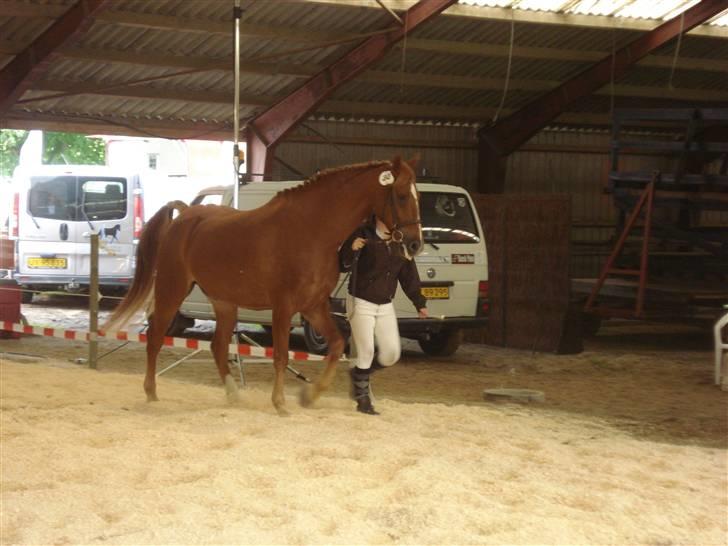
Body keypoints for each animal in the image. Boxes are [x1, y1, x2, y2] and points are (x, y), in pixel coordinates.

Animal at [102, 156, 420, 412]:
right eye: (403, 195)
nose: (415, 244)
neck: (313, 230)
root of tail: (184, 213)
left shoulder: (314, 306)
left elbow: (337, 344)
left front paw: (309, 395)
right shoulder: (283, 306)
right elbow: (280, 355)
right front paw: (280, 403)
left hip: (224, 302)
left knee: (218, 346)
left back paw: (233, 395)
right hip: (173, 288)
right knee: (156, 335)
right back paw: (151, 393)